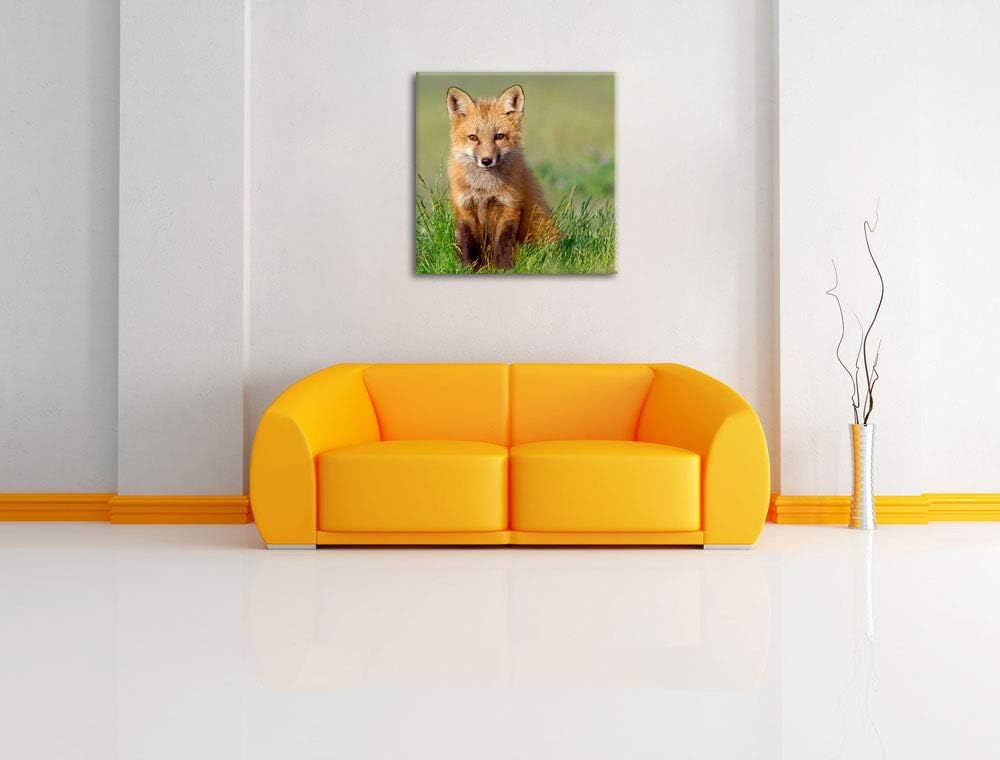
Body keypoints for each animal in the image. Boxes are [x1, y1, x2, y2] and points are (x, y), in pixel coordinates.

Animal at [446, 84, 557, 270]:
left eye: (499, 136)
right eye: (473, 137)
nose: (486, 160)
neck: (484, 189)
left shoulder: (509, 207)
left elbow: (503, 244)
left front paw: (504, 269)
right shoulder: (464, 208)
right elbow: (469, 243)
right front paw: (470, 268)